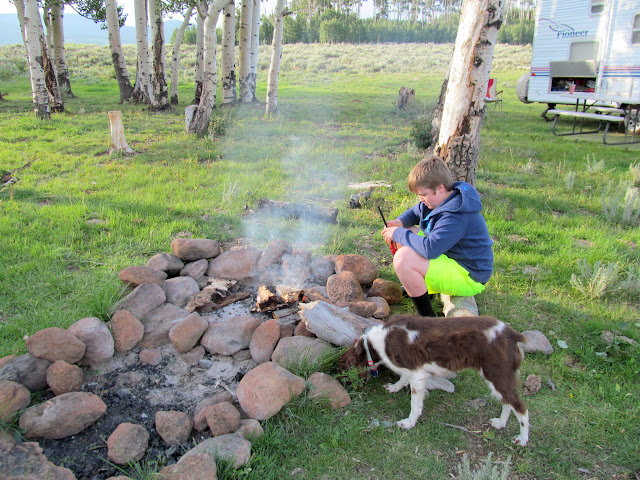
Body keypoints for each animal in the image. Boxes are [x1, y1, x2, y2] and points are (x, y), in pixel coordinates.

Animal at [340, 316, 528, 446]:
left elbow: (415, 405)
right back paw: (501, 423)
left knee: (520, 407)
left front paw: (409, 423)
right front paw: (394, 387)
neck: (374, 343)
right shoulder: (411, 368)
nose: (344, 385)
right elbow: (402, 378)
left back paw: (522, 439)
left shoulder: (417, 375)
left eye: (344, 368)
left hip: (496, 374)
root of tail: (511, 333)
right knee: (508, 401)